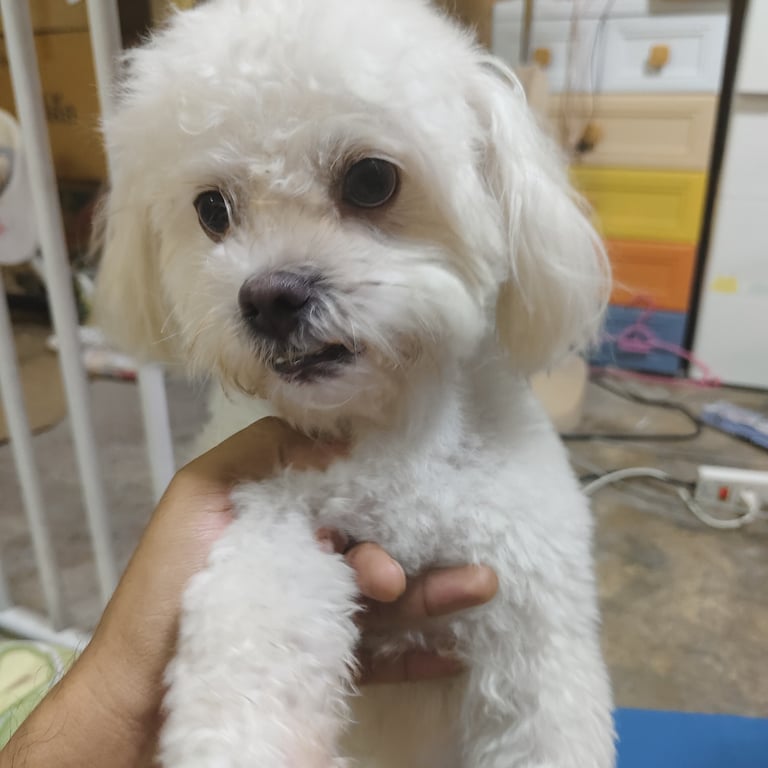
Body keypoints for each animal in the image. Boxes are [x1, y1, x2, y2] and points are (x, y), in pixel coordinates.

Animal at [95, 0, 615, 765]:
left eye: (371, 180)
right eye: (212, 209)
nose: (270, 299)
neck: (388, 434)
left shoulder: (529, 605)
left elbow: (547, 720)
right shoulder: (272, 525)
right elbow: (247, 651)